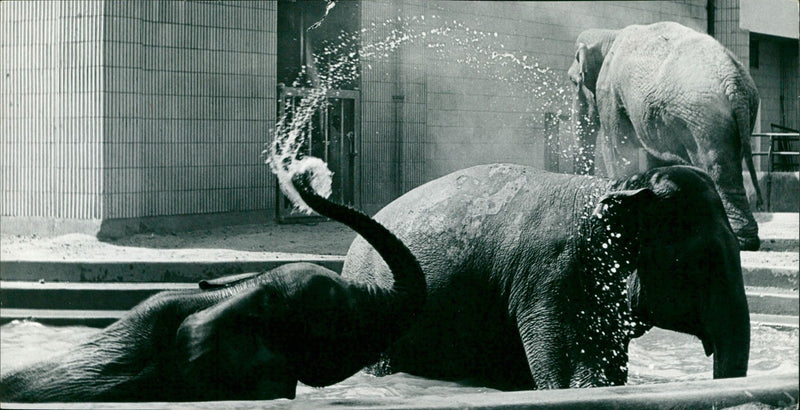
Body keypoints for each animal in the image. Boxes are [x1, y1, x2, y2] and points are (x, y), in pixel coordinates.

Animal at [568, 21, 763, 251]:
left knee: (717, 169)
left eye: (573, 81)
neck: (611, 34)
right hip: (742, 112)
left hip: (704, 117)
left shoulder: (609, 92)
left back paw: (740, 240)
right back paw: (745, 238)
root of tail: (734, 82)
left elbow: (618, 147)